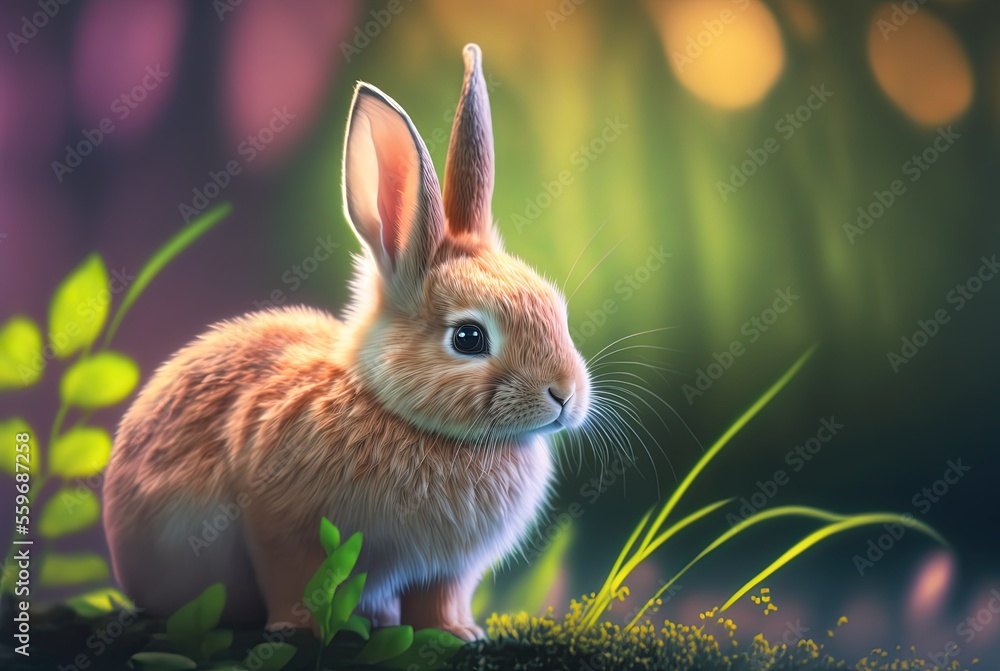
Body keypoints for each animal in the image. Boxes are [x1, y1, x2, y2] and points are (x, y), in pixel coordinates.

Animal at [102, 43, 591, 641]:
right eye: (469, 337)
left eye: (557, 311)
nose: (565, 395)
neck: (402, 415)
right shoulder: (281, 522)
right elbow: (296, 579)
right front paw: (301, 630)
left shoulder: (448, 569)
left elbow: (440, 600)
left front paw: (458, 634)